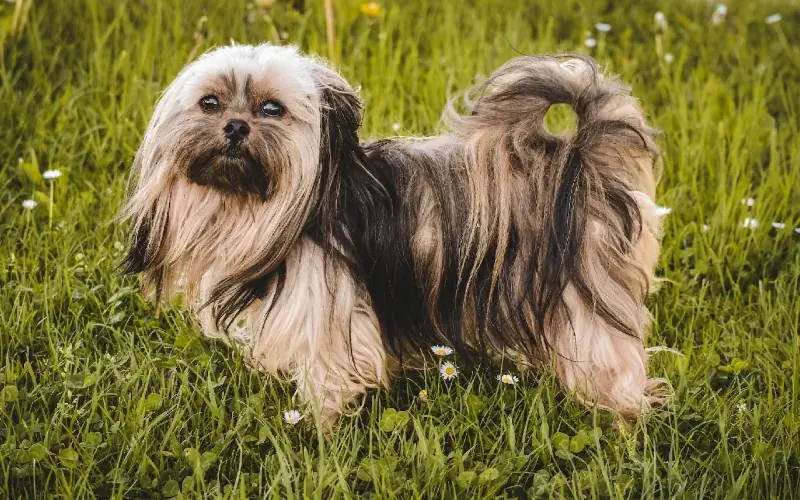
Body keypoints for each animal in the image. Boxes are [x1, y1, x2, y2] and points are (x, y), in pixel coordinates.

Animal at [120, 44, 664, 426]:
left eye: (272, 109)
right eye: (209, 103)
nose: (234, 127)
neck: (264, 209)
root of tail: (579, 158)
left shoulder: (331, 321)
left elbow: (328, 382)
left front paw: (320, 433)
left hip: (585, 296)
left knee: (614, 361)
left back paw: (621, 423)